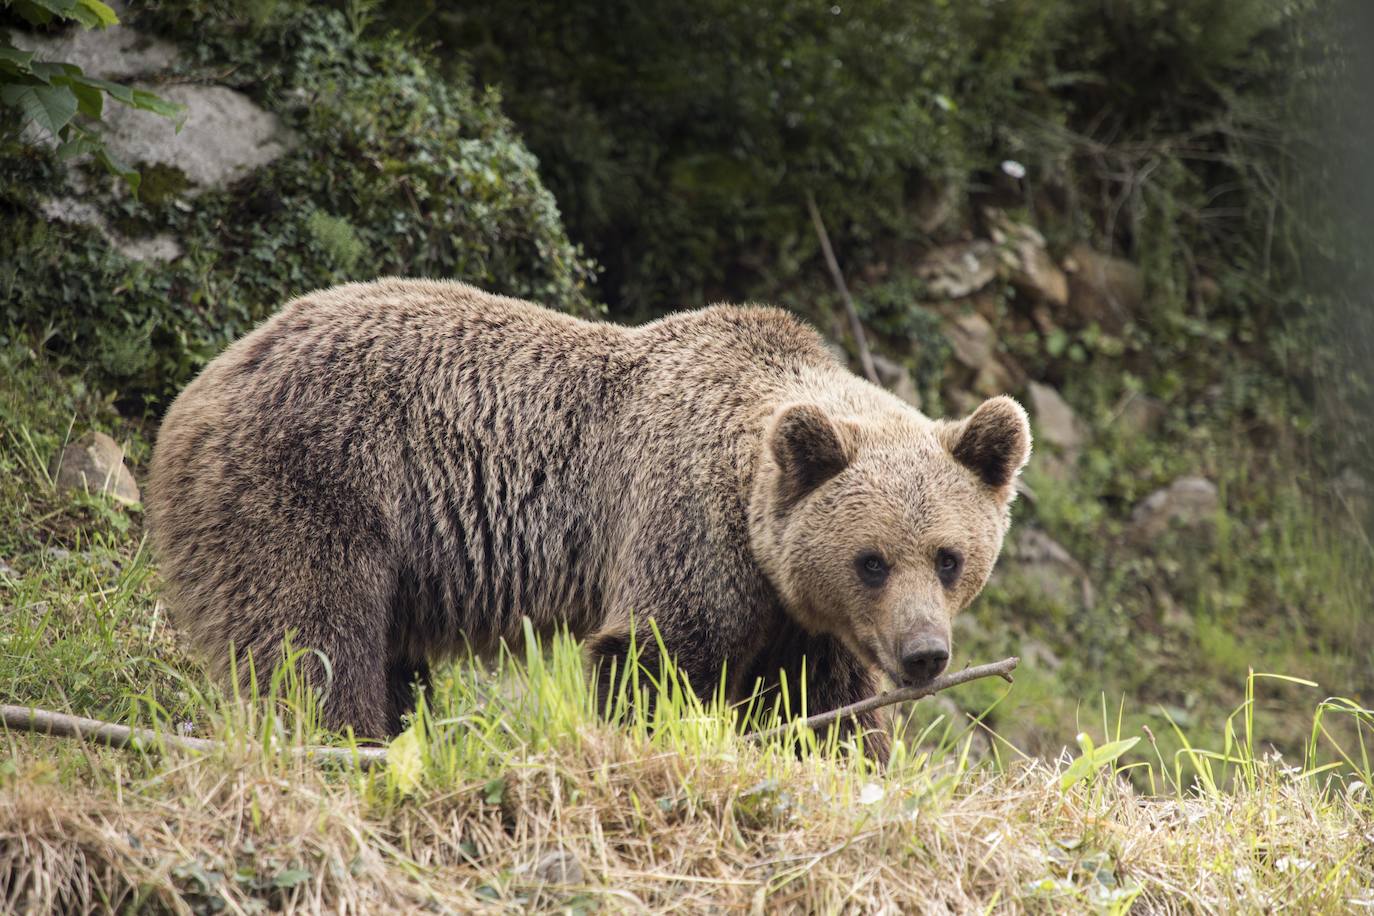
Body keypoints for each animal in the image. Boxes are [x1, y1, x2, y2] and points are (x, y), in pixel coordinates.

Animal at [150, 277, 1033, 752]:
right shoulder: (686, 528)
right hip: (316, 486)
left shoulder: (802, 618)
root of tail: (204, 383)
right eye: (872, 559)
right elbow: (651, 656)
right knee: (312, 641)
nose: (923, 654)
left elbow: (824, 709)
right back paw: (345, 740)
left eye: (950, 557)